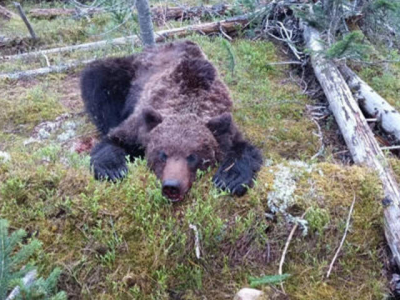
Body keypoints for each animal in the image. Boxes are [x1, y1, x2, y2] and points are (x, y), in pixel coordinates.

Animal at [81, 39, 262, 202]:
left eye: (192, 156)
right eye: (162, 154)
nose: (172, 186)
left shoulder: (224, 125)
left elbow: (244, 149)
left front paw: (229, 179)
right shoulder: (141, 124)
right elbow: (114, 139)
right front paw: (113, 169)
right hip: (128, 73)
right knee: (98, 78)